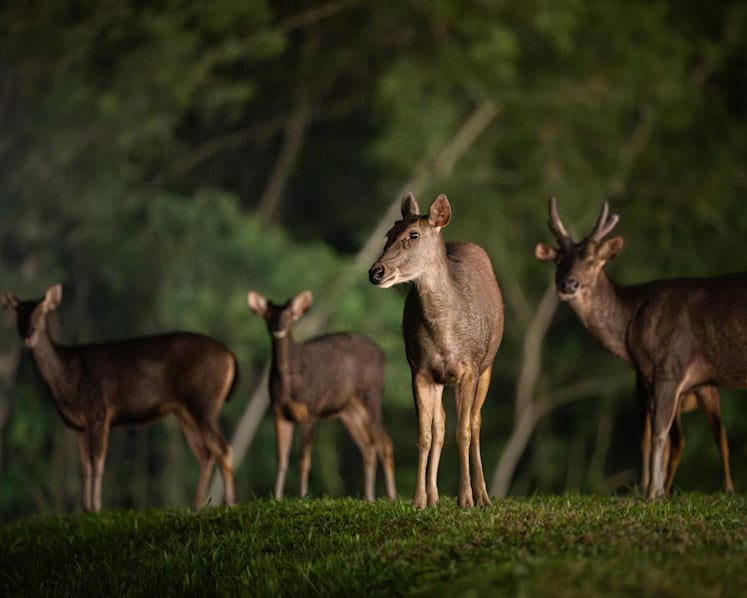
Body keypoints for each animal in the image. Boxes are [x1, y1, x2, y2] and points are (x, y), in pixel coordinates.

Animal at [0, 283, 237, 512]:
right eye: (18, 311)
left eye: (41, 311)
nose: (28, 333)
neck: (67, 384)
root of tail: (230, 358)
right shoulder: (79, 426)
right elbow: (85, 465)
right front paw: (84, 508)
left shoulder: (99, 411)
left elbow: (98, 462)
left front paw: (96, 508)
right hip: (184, 411)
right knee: (206, 453)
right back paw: (197, 506)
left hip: (203, 402)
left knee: (223, 448)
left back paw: (229, 503)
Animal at [247, 289, 396, 502]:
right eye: (268, 315)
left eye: (290, 315)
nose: (279, 328)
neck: (288, 385)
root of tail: (383, 354)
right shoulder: (279, 412)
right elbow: (281, 458)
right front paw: (276, 497)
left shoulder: (310, 409)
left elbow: (304, 458)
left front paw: (302, 496)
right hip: (348, 410)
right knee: (368, 447)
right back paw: (369, 498)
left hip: (371, 395)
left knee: (385, 443)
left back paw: (391, 496)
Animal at [369, 193, 504, 509]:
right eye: (388, 233)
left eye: (413, 234)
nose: (376, 271)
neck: (445, 336)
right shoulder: (419, 369)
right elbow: (426, 434)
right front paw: (418, 500)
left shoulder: (469, 368)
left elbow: (463, 431)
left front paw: (465, 498)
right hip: (442, 378)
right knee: (440, 424)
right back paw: (434, 496)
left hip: (487, 365)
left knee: (475, 422)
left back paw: (483, 495)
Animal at [535, 197, 737, 499]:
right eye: (559, 260)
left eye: (593, 261)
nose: (568, 284)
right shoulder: (645, 384)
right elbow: (647, 437)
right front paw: (649, 489)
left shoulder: (668, 372)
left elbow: (657, 435)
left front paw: (653, 493)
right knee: (691, 436)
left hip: (701, 387)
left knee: (714, 433)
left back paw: (726, 488)